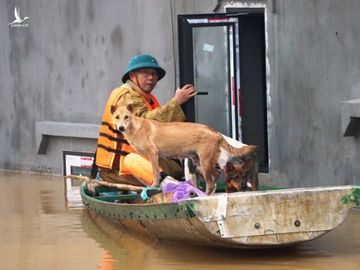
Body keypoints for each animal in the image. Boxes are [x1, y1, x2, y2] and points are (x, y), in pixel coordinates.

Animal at [111, 103, 258, 194]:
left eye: (126, 117)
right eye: (117, 117)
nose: (121, 128)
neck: (136, 127)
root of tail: (215, 132)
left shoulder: (153, 154)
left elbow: (155, 173)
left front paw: (154, 186)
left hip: (205, 163)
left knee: (211, 184)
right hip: (200, 163)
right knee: (214, 180)